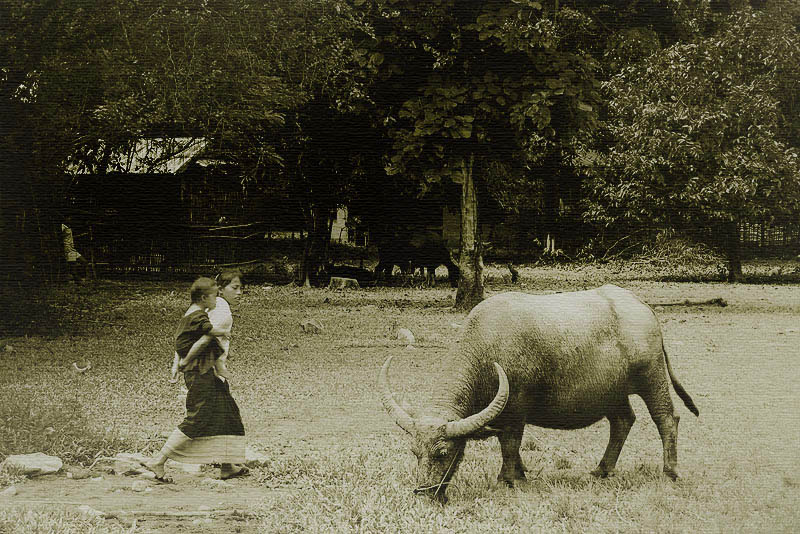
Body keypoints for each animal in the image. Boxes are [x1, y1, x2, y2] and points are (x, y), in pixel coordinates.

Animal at [378, 286, 696, 504]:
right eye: (414, 452)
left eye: (443, 453)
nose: (423, 495)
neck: (487, 348)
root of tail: (643, 307)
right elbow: (512, 447)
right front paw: (521, 474)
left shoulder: (515, 409)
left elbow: (509, 443)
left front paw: (506, 480)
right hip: (613, 393)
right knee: (623, 422)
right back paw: (601, 470)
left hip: (652, 379)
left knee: (667, 419)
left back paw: (669, 472)